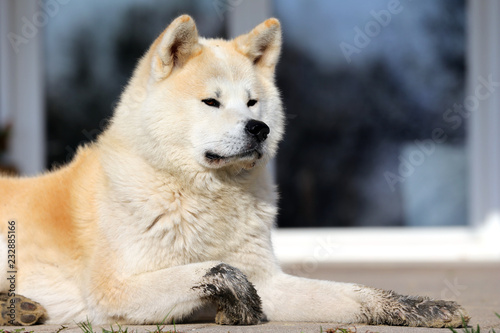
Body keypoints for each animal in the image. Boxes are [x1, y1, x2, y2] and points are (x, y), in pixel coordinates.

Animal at [0, 15, 468, 326]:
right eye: (212, 102)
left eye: (251, 103)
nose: (259, 129)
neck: (199, 197)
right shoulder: (113, 293)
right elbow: (218, 270)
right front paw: (237, 302)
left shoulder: (272, 282)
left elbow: (352, 293)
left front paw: (413, 305)